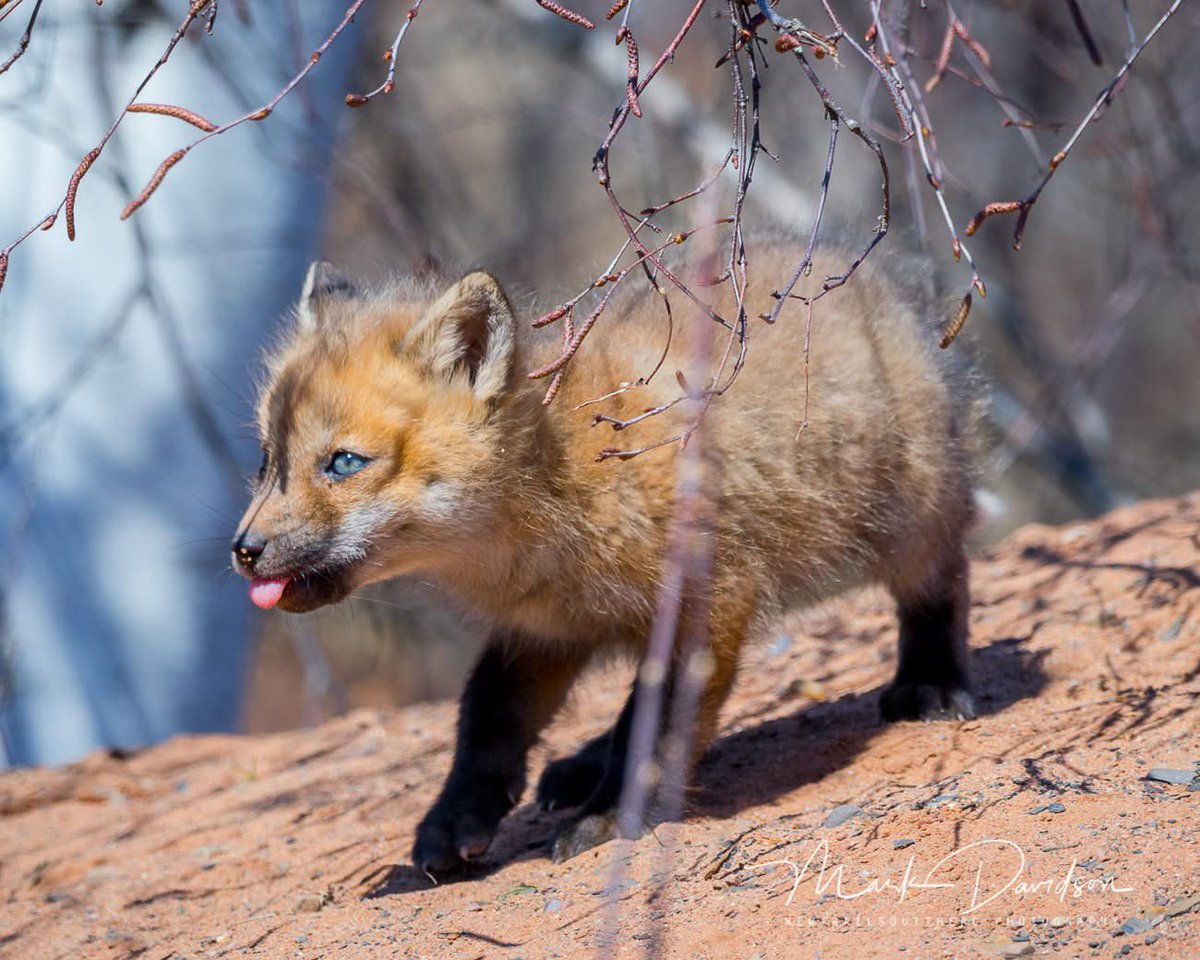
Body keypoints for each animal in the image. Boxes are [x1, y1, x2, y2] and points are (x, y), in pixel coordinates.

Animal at [231, 233, 979, 874]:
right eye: (268, 462)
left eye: (344, 463)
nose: (243, 550)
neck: (555, 491)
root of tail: (868, 274)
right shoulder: (542, 628)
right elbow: (486, 719)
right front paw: (455, 819)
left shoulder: (704, 607)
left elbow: (653, 728)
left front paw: (614, 816)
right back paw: (578, 765)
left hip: (913, 519)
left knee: (941, 582)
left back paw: (934, 681)